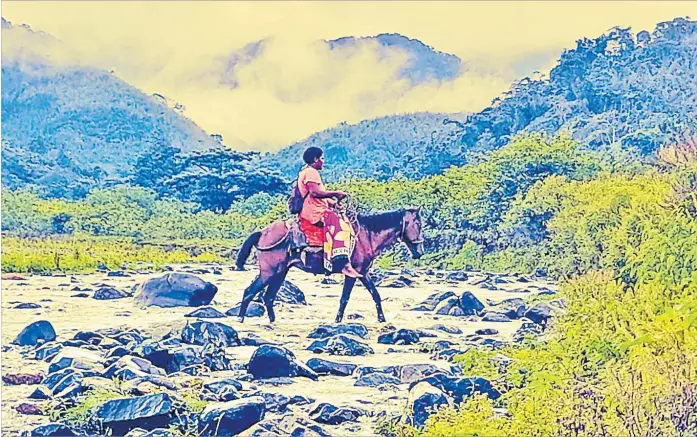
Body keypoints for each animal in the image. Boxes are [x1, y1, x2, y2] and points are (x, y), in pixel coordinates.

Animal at [234, 208, 424, 324]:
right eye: (419, 224)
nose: (420, 251)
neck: (366, 235)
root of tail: (262, 233)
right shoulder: (352, 273)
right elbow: (345, 298)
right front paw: (338, 320)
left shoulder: (363, 273)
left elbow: (376, 295)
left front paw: (382, 319)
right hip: (269, 272)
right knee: (250, 291)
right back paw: (241, 319)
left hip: (281, 273)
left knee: (268, 297)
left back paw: (272, 321)